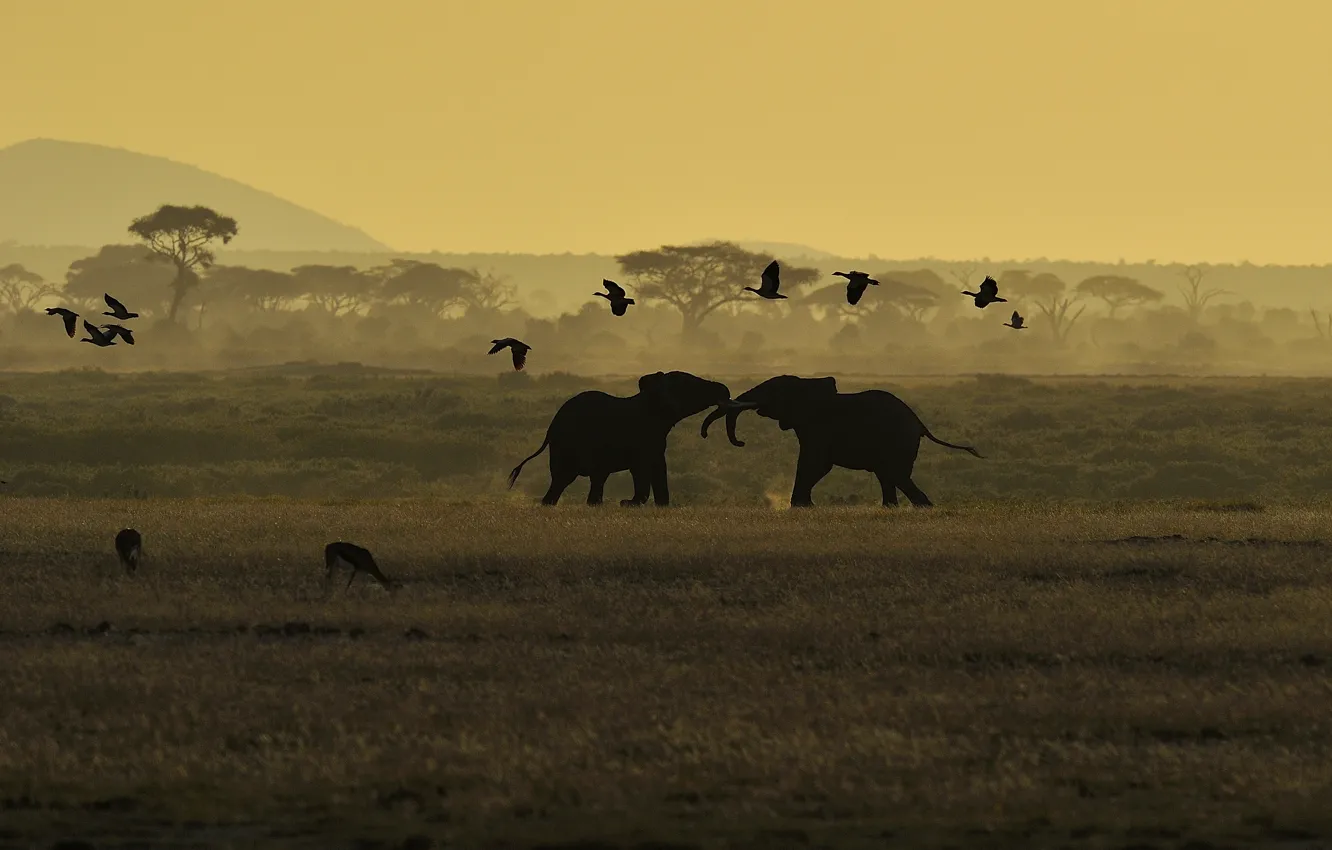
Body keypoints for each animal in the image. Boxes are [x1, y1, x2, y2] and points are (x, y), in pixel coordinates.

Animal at [508, 370, 732, 506]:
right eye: (688, 386)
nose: (724, 392)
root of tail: (550, 429)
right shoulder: (641, 439)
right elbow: (641, 470)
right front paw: (628, 504)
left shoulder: (656, 443)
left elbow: (658, 469)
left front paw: (660, 506)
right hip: (566, 448)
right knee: (562, 480)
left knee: (595, 479)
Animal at [700, 375, 982, 507]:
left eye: (772, 392)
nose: (741, 442)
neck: (805, 385)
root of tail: (921, 423)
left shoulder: (818, 428)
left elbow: (815, 464)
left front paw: (801, 507)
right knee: (888, 475)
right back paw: (894, 508)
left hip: (898, 442)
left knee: (896, 474)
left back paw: (923, 508)